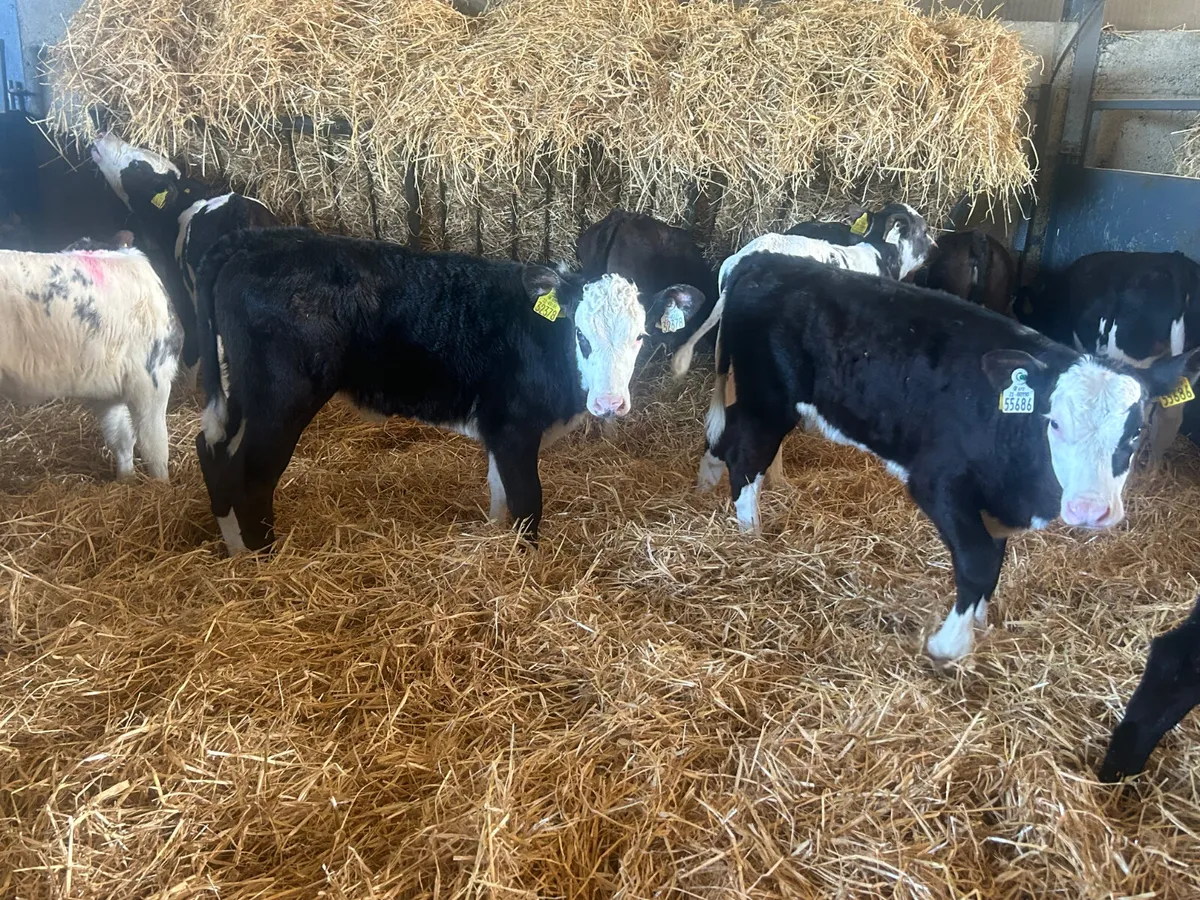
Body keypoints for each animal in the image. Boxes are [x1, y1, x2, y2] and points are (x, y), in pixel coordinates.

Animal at [0, 245, 182, 479]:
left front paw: (126, 479)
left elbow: (121, 438)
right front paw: (161, 484)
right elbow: (155, 447)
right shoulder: (151, 379)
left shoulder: (110, 389)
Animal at [192, 227, 705, 555]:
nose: (609, 403)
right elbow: (527, 502)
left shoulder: (499, 430)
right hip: (281, 397)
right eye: (581, 335)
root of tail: (254, 240)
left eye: (640, 337)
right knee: (252, 475)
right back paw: (265, 558)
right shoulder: (515, 428)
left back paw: (234, 547)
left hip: (242, 393)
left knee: (213, 449)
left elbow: (499, 493)